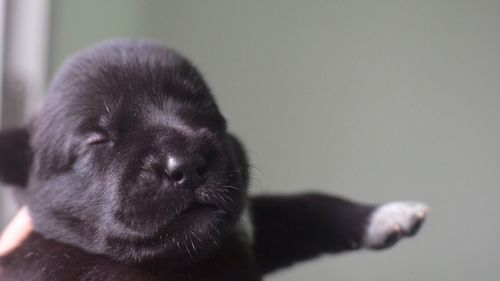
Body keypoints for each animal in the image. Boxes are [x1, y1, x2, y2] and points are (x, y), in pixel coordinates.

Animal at [0, 40, 430, 280]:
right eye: (97, 138)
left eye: (204, 108)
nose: (187, 164)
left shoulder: (251, 233)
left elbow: (303, 207)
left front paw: (386, 215)